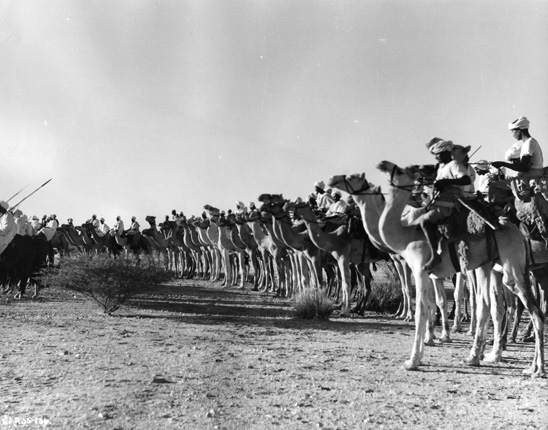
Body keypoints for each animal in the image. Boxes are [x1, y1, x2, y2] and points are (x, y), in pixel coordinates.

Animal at [376, 161, 544, 376]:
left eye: (399, 170)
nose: (383, 164)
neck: (405, 234)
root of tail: (519, 233)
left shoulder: (420, 269)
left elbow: (423, 309)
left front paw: (413, 360)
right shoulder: (433, 274)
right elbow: (433, 304)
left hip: (513, 266)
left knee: (532, 309)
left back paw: (536, 368)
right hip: (494, 265)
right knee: (495, 304)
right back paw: (483, 356)